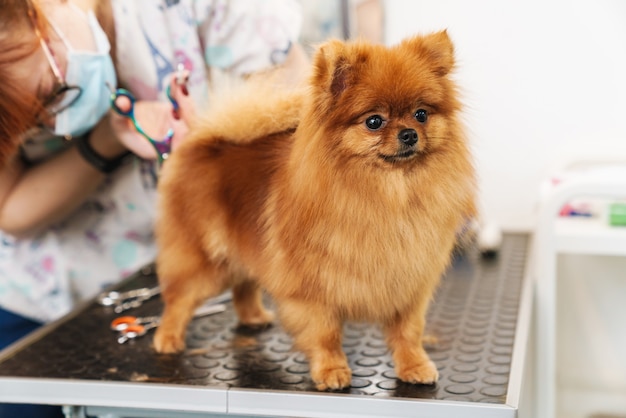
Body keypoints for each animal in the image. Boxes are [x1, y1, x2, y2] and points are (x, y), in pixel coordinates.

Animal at [154, 31, 476, 390]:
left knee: (244, 284)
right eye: (374, 121)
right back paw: (167, 338)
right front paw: (332, 370)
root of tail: (206, 140)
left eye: (421, 114)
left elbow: (408, 332)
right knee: (179, 299)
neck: (389, 195)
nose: (409, 134)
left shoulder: (407, 286)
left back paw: (253, 317)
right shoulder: (312, 292)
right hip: (204, 264)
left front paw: (415, 366)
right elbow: (326, 335)